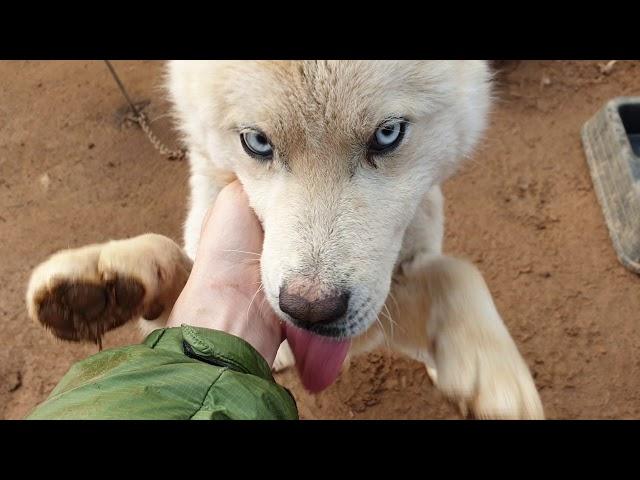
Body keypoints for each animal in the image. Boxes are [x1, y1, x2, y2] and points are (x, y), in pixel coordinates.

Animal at [26, 62, 544, 418]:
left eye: (387, 134)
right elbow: (178, 270)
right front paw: (103, 282)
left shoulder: (371, 318)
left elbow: (455, 272)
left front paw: (490, 370)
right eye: (256, 142)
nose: (309, 311)